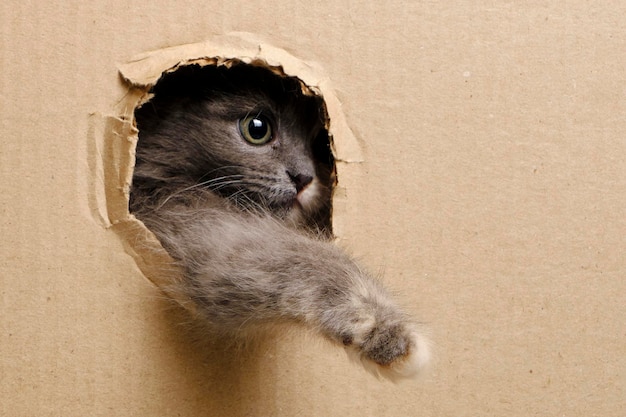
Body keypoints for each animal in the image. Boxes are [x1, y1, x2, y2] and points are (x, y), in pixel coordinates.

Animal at [129, 63, 426, 378]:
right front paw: (391, 335)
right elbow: (305, 259)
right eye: (257, 128)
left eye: (321, 144)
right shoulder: (200, 229)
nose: (304, 177)